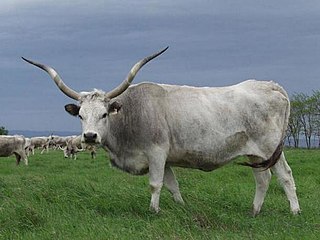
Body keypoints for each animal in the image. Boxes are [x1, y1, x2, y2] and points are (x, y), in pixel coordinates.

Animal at [21, 47, 300, 216]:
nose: (90, 136)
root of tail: (271, 85)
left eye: (104, 114)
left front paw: (153, 211)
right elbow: (172, 186)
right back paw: (254, 211)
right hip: (256, 155)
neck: (130, 114)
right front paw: (181, 207)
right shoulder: (165, 159)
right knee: (263, 179)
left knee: (285, 176)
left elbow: (155, 185)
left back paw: (295, 211)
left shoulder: (156, 153)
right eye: (80, 115)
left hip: (270, 149)